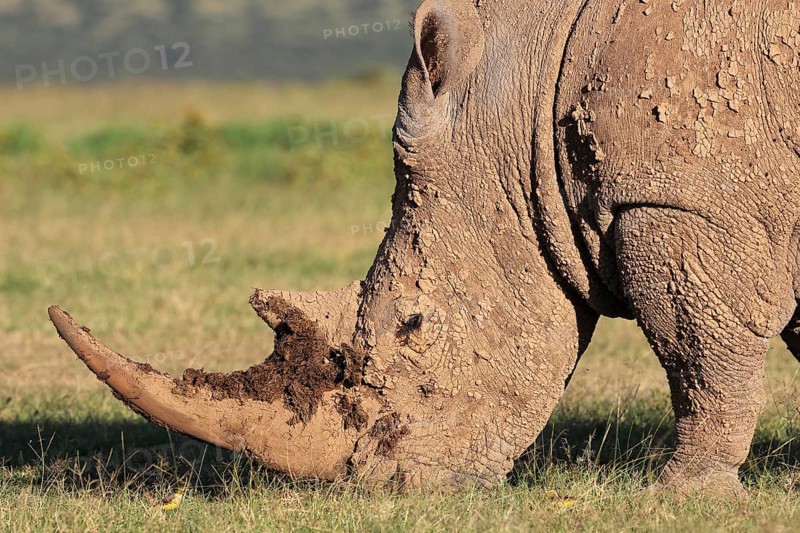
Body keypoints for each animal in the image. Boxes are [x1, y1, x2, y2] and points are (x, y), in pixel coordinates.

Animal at [50, 0, 800, 497]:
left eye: (413, 327)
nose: (381, 487)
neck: (524, 93)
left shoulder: (675, 201)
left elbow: (699, 354)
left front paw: (684, 494)